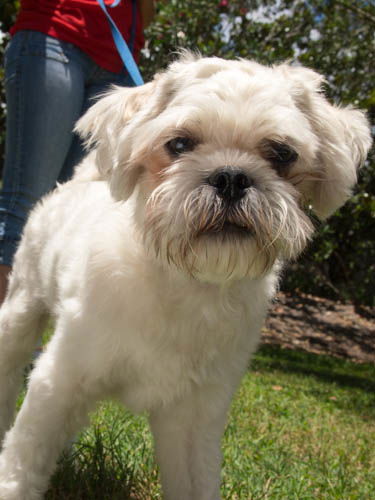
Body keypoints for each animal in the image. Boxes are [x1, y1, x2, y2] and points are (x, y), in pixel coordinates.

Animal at [0, 52, 372, 498]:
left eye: (282, 153)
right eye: (179, 144)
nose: (231, 177)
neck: (183, 283)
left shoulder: (196, 417)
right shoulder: (59, 382)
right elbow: (22, 464)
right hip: (21, 313)